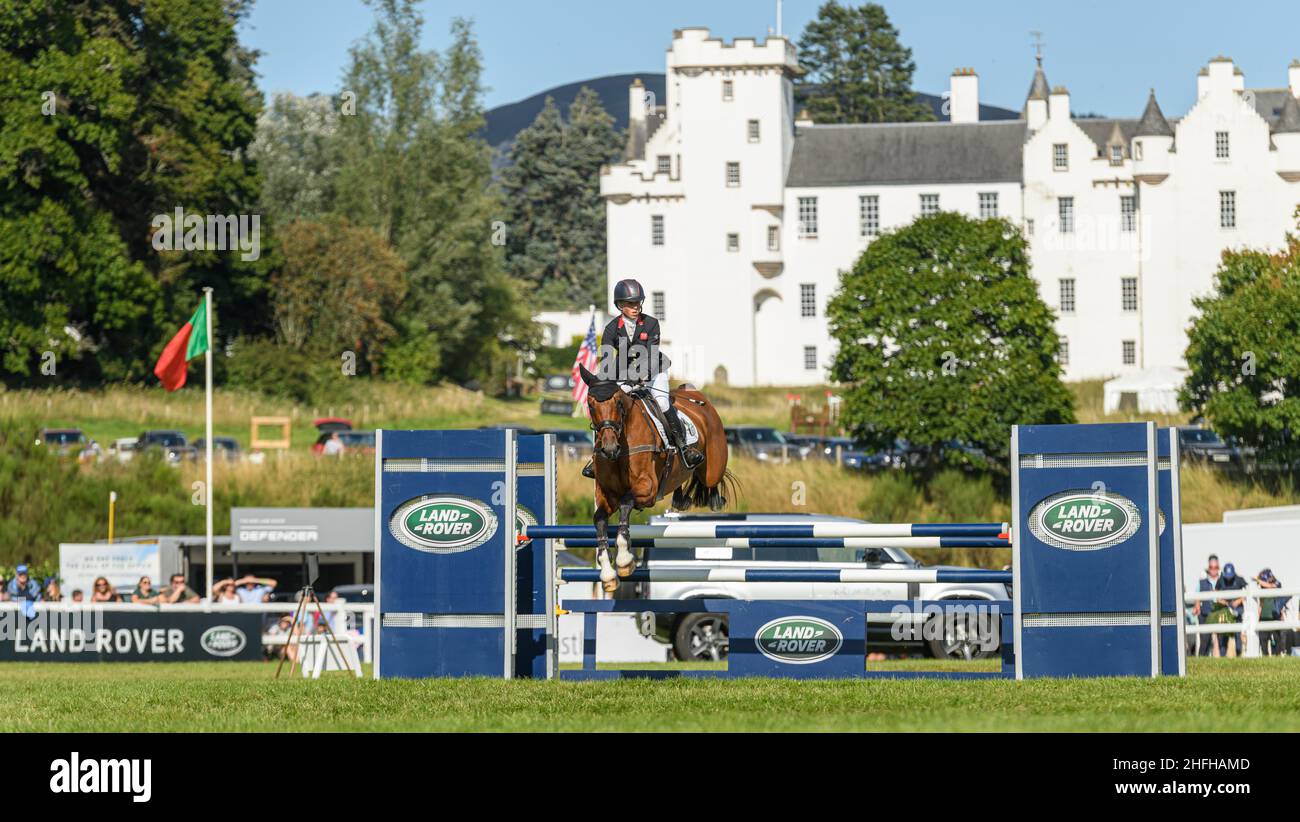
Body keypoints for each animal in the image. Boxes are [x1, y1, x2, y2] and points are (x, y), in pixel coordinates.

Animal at [577, 364, 733, 590]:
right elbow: (599, 519)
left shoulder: (647, 489)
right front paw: (607, 573)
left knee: (712, 479)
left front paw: (624, 560)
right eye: (590, 405)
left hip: (713, 466)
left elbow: (626, 503)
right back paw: (680, 498)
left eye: (618, 402)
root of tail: (696, 394)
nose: (609, 448)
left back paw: (713, 498)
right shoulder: (607, 495)